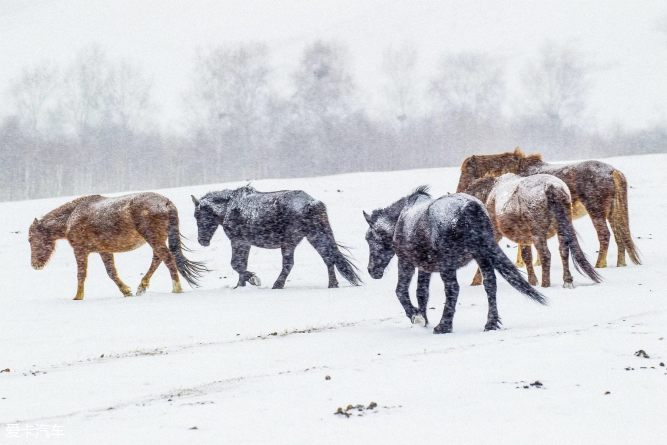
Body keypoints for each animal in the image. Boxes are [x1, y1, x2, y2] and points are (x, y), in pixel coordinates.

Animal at [29, 191, 206, 298]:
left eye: (31, 239)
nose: (35, 265)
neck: (71, 217)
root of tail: (166, 203)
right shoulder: (104, 251)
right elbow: (111, 273)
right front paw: (126, 291)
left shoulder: (80, 250)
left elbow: (81, 275)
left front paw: (77, 297)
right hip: (156, 240)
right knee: (158, 259)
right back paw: (142, 286)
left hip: (154, 239)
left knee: (167, 259)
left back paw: (176, 288)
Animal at [190, 184, 362, 288]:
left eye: (197, 216)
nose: (202, 241)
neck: (229, 207)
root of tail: (311, 203)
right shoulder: (245, 244)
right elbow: (241, 264)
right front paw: (240, 285)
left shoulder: (238, 241)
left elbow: (236, 264)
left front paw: (253, 279)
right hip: (314, 236)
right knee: (328, 258)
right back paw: (332, 284)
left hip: (289, 242)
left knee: (289, 264)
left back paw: (277, 285)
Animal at [366, 186, 548, 334]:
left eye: (369, 238)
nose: (371, 270)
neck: (401, 220)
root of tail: (470, 208)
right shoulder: (425, 267)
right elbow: (422, 293)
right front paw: (423, 318)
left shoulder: (406, 262)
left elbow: (401, 290)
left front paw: (415, 316)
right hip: (481, 255)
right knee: (490, 284)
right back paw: (490, 323)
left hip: (449, 266)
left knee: (453, 289)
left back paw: (443, 326)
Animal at [456, 148, 640, 268]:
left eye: (465, 171)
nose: (460, 191)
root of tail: (612, 171)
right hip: (612, 212)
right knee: (620, 234)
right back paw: (621, 263)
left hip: (596, 212)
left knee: (605, 235)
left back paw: (599, 264)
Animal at [464, 173, 600, 288]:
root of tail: (552, 187)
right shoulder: (524, 238)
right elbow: (527, 257)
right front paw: (532, 281)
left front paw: (476, 281)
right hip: (561, 229)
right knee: (563, 250)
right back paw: (567, 281)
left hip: (538, 234)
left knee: (546, 255)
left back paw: (546, 284)